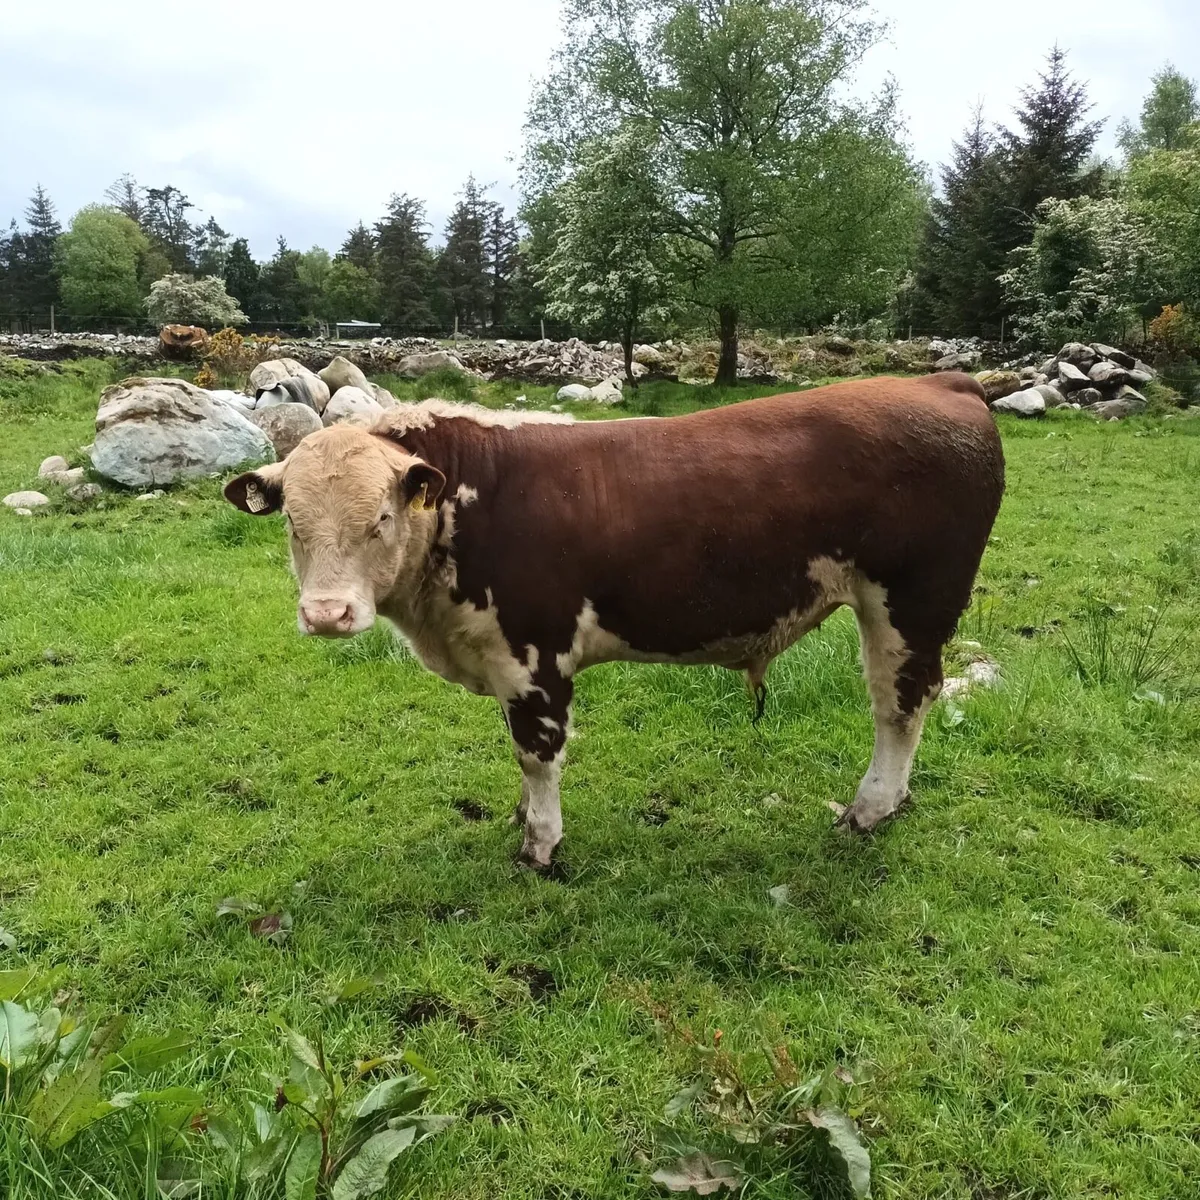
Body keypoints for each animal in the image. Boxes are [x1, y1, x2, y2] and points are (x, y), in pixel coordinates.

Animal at [224, 374, 1004, 870]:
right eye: (292, 522)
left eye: (380, 518)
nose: (327, 614)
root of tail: (943, 382)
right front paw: (522, 819)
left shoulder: (535, 656)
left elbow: (536, 753)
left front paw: (540, 844)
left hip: (911, 601)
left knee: (900, 704)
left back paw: (869, 810)